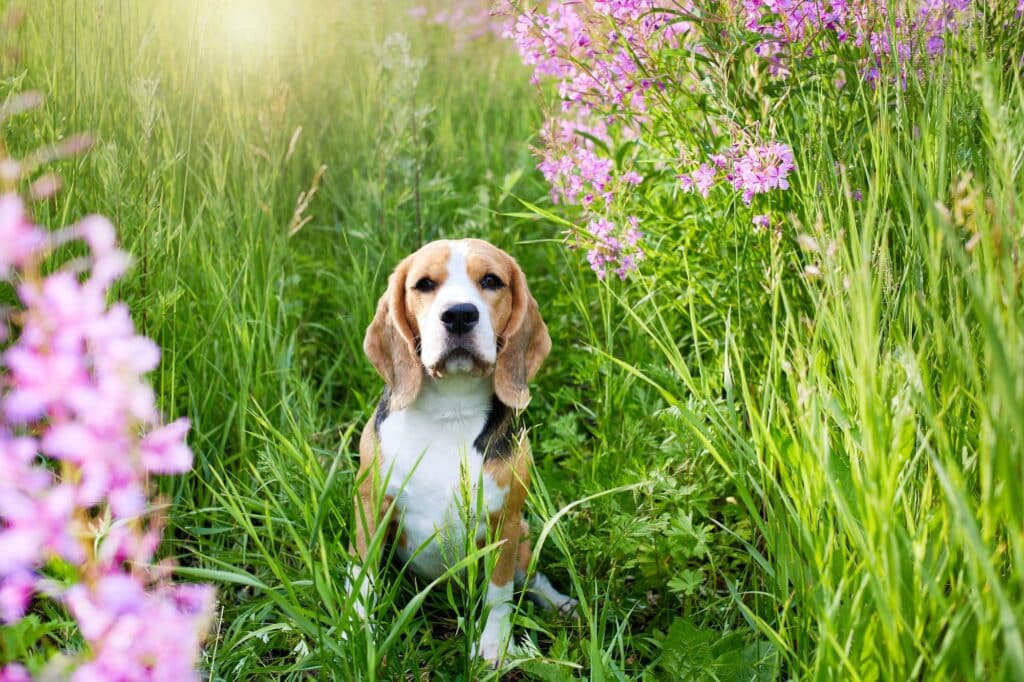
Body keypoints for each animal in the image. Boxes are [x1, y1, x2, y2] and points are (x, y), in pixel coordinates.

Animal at [352, 237, 577, 659]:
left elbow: (500, 592)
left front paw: (493, 645)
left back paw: (559, 603)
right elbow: (362, 575)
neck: (448, 411)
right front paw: (355, 634)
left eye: (491, 280)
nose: (459, 314)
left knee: (532, 577)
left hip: (524, 534)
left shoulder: (505, 522)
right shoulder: (370, 505)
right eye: (424, 284)